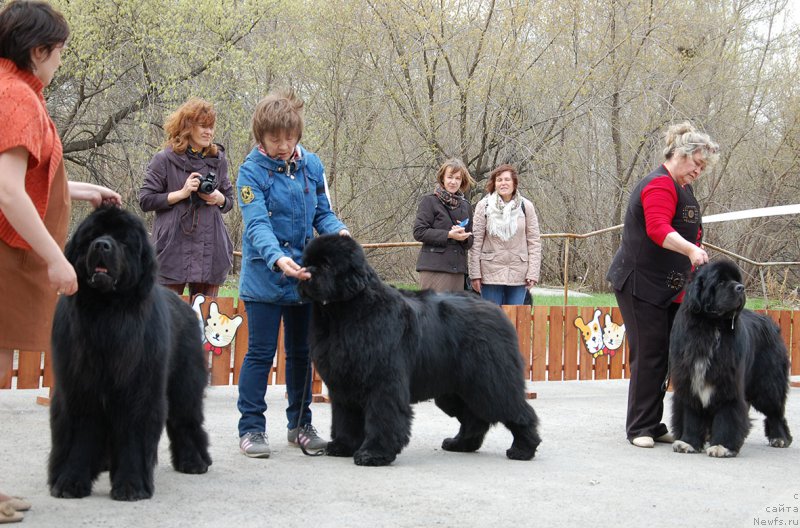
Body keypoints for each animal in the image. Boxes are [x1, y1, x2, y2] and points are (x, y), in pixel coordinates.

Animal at [48, 206, 211, 500]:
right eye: (92, 236)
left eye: (123, 241)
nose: (102, 245)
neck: (106, 313)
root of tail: (186, 306)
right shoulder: (79, 387)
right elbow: (79, 434)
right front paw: (70, 482)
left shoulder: (138, 389)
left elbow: (133, 436)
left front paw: (131, 486)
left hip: (185, 383)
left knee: (185, 420)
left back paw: (194, 462)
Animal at [296, 235, 540, 466]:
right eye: (306, 263)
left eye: (326, 265)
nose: (305, 275)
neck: (343, 314)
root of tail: (495, 309)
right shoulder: (343, 383)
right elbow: (345, 417)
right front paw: (343, 445)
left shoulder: (382, 382)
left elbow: (382, 416)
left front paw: (373, 454)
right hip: (454, 389)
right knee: (473, 418)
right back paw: (460, 444)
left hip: (491, 381)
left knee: (516, 410)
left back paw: (523, 449)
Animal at [668, 260, 792, 458]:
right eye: (720, 282)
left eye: (737, 280)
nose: (741, 288)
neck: (711, 326)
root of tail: (770, 322)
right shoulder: (689, 380)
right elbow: (691, 414)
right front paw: (688, 443)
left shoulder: (728, 383)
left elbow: (727, 414)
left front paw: (722, 446)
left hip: (768, 384)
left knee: (775, 412)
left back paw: (779, 438)